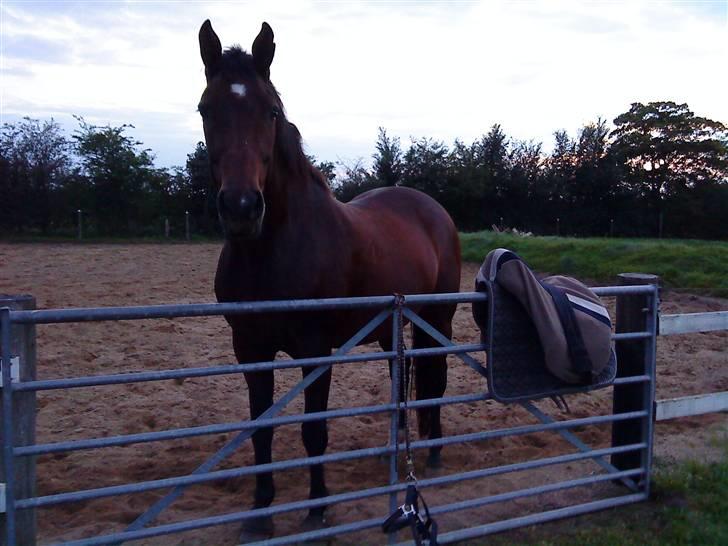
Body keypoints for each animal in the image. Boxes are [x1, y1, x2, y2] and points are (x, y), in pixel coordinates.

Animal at [198, 19, 460, 536]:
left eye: (271, 111)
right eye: (205, 108)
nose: (241, 208)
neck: (270, 249)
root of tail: (433, 209)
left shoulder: (315, 349)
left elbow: (313, 430)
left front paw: (318, 507)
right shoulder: (249, 349)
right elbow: (261, 431)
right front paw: (261, 512)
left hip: (437, 318)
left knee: (435, 379)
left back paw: (435, 453)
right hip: (392, 326)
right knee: (401, 382)